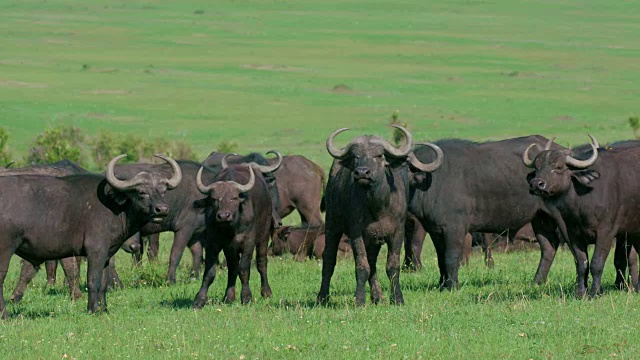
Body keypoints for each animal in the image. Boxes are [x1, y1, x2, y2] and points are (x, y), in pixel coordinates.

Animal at [0, 153, 181, 316]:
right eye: (141, 192)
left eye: (163, 191)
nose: (162, 209)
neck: (115, 207)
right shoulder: (96, 251)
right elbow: (93, 280)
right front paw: (92, 309)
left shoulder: (107, 254)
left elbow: (103, 283)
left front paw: (104, 309)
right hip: (5, 250)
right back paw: (5, 314)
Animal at [191, 163, 274, 306]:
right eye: (214, 199)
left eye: (233, 198)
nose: (224, 215)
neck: (230, 228)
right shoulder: (214, 242)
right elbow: (210, 272)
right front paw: (199, 299)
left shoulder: (248, 242)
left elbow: (244, 269)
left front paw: (246, 297)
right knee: (232, 267)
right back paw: (228, 297)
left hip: (264, 235)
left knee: (261, 262)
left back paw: (266, 292)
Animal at [318, 125, 442, 306]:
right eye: (356, 156)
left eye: (379, 155)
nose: (362, 172)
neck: (378, 208)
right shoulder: (357, 234)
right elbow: (362, 266)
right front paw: (359, 300)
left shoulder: (397, 233)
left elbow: (392, 266)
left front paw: (397, 298)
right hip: (332, 225)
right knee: (329, 258)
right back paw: (322, 297)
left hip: (373, 241)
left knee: (373, 262)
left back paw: (378, 296)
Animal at [408, 136, 564, 290]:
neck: (432, 182)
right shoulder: (434, 230)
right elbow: (441, 258)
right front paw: (442, 285)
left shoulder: (454, 229)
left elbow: (451, 256)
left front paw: (452, 286)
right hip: (540, 218)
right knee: (549, 247)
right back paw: (537, 281)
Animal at [524, 135, 640, 296]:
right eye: (537, 167)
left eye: (558, 167)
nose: (536, 184)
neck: (581, 202)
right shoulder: (574, 234)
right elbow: (581, 263)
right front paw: (580, 292)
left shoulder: (606, 233)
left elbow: (597, 263)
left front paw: (595, 292)